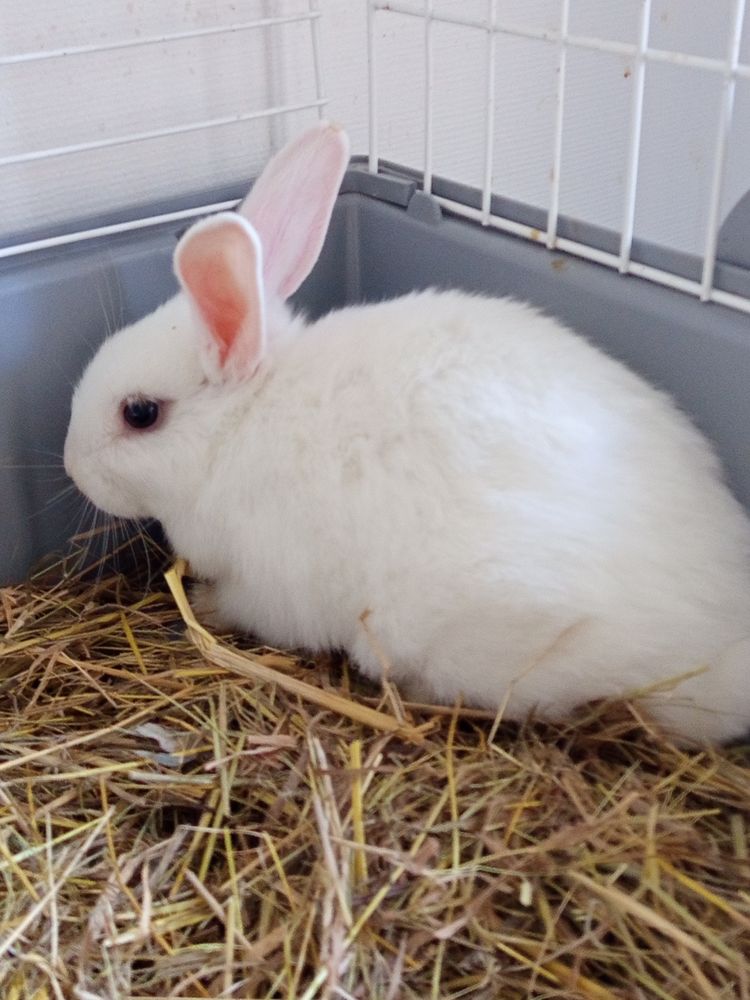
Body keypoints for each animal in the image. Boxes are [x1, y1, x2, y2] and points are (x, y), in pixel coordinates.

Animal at [64, 121, 750, 746]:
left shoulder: (269, 588)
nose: (71, 466)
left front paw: (201, 607)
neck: (241, 423)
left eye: (140, 414)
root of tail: (723, 641)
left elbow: (243, 607)